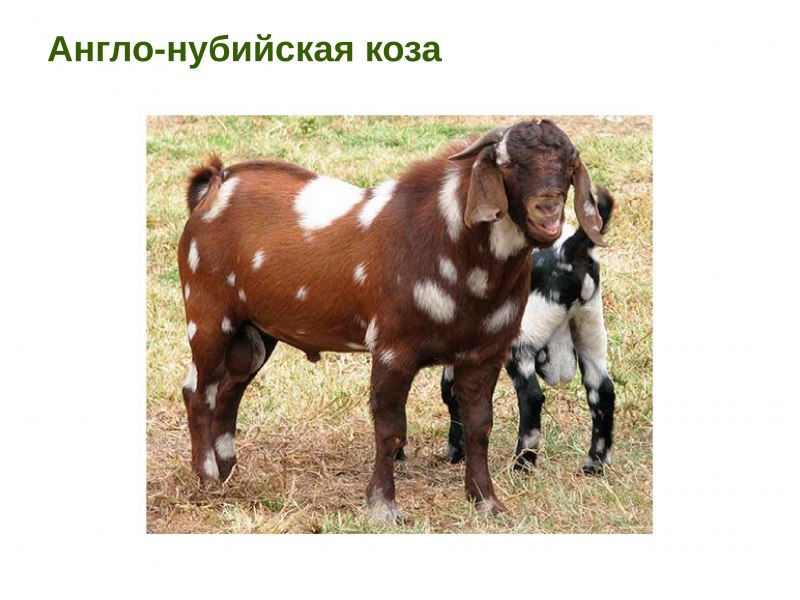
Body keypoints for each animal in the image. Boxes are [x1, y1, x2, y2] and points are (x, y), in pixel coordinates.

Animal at [440, 188, 616, 473]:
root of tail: (568, 250)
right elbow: (452, 391)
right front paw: (458, 451)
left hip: (520, 342)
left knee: (531, 396)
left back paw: (523, 463)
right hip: (590, 330)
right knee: (602, 392)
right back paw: (594, 463)